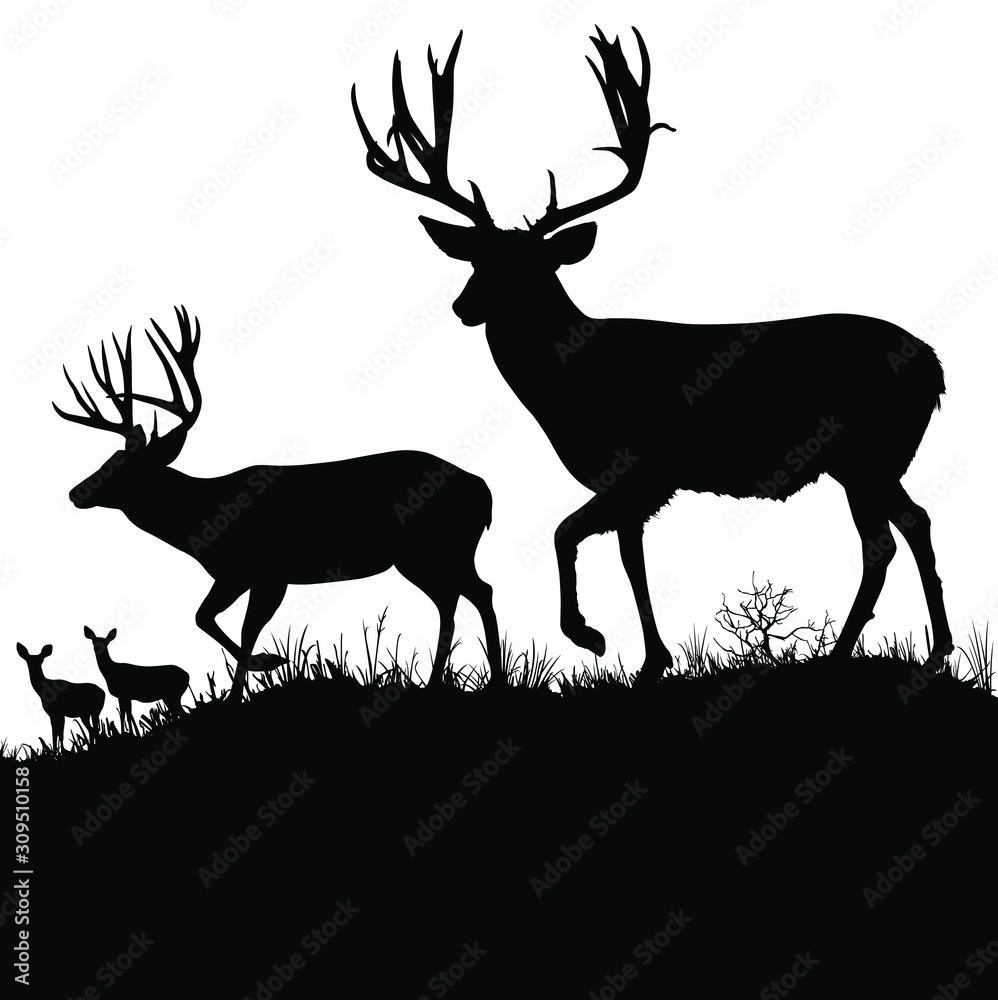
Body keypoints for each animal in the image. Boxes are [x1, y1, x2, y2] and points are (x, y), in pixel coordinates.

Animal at [55, 307, 504, 702]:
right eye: (108, 459)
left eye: (121, 467)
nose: (76, 492)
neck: (203, 520)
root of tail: (483, 488)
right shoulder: (245, 574)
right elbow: (219, 621)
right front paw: (247, 683)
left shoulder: (263, 571)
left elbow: (226, 623)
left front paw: (261, 670)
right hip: (435, 552)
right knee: (460, 595)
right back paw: (449, 681)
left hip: (429, 547)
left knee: (472, 592)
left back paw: (481, 679)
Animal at [352, 26, 953, 686]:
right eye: (478, 260)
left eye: (532, 268)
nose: (463, 306)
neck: (570, 385)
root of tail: (935, 367)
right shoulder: (634, 484)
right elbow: (623, 552)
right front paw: (646, 657)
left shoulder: (647, 468)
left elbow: (569, 534)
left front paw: (593, 638)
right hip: (867, 460)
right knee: (905, 527)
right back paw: (907, 650)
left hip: (868, 452)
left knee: (890, 536)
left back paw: (871, 652)